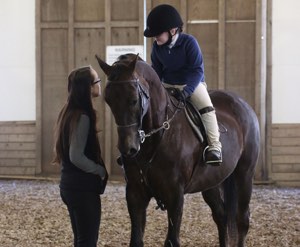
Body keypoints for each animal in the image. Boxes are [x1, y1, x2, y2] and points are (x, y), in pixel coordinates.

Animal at [96, 54, 260, 247]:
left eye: (134, 99)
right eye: (109, 100)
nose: (128, 148)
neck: (157, 138)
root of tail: (243, 105)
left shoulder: (175, 195)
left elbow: (172, 240)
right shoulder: (135, 193)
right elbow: (136, 240)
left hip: (244, 174)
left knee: (242, 219)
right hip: (211, 182)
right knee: (221, 215)